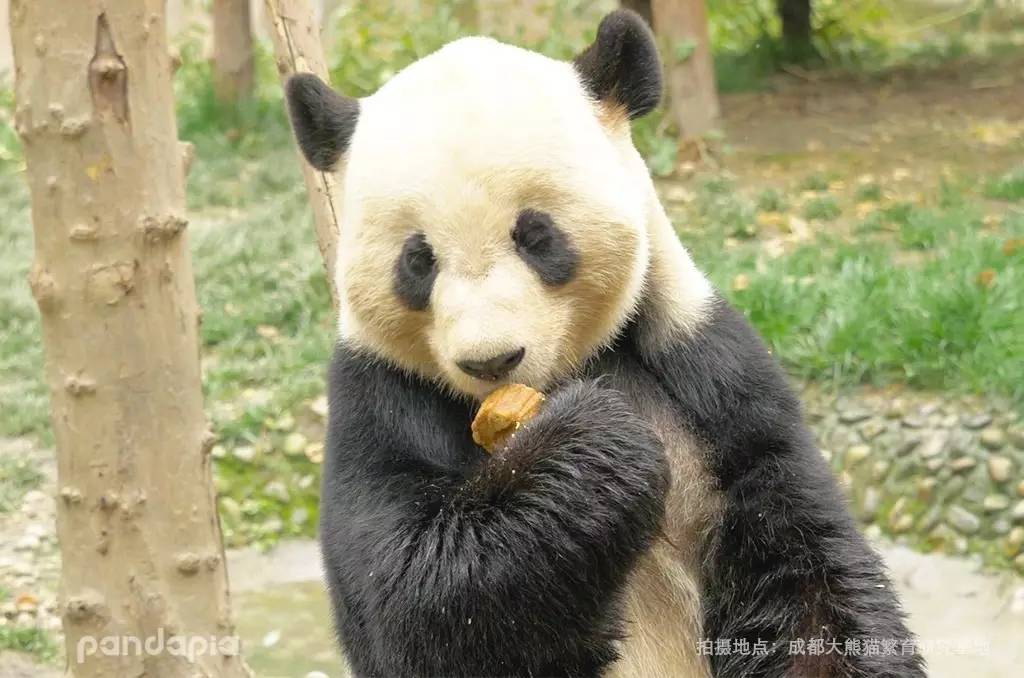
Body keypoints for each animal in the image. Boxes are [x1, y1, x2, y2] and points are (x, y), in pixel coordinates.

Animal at [284, 9, 925, 678]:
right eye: (417, 260)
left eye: (536, 235)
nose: (492, 360)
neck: (554, 379)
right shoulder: (377, 394)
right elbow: (405, 596)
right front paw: (595, 445)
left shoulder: (705, 363)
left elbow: (802, 560)